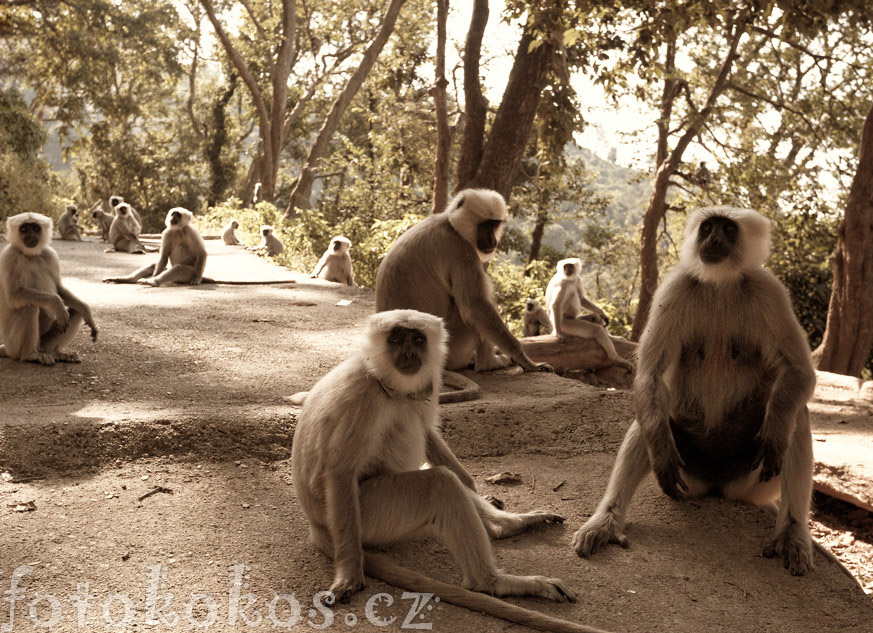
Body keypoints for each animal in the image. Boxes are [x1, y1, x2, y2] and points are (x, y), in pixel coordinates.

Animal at [0, 211, 99, 362]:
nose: (30, 236)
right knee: (29, 308)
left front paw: (87, 311)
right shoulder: (10, 256)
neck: (30, 255)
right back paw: (30, 355)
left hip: (44, 340)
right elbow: (14, 295)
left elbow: (59, 289)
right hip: (13, 345)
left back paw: (56, 352)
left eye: (35, 228)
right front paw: (57, 304)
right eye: (24, 229)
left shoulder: (50, 254)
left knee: (76, 311)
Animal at [292, 310, 612, 632]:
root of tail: (317, 525)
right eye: (397, 338)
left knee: (434, 455)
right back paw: (491, 582)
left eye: (417, 340)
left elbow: (430, 434)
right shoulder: (362, 397)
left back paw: (506, 524)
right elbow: (340, 471)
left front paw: (484, 497)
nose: (408, 353)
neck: (380, 374)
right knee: (439, 482)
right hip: (371, 516)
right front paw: (349, 574)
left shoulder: (428, 382)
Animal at [372, 190, 548, 372]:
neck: (450, 225)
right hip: (452, 347)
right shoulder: (461, 250)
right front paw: (527, 361)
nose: (492, 240)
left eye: (494, 225)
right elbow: (475, 307)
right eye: (485, 225)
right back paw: (488, 363)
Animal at [572, 205, 816, 576]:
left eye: (727, 230)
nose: (712, 241)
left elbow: (800, 372)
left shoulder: (768, 290)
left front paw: (775, 435)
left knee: (795, 416)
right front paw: (659, 451)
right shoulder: (676, 288)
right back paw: (606, 521)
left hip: (748, 480)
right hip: (692, 474)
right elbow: (650, 375)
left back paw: (792, 531)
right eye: (708, 228)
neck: (721, 286)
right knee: (651, 422)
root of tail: (716, 486)